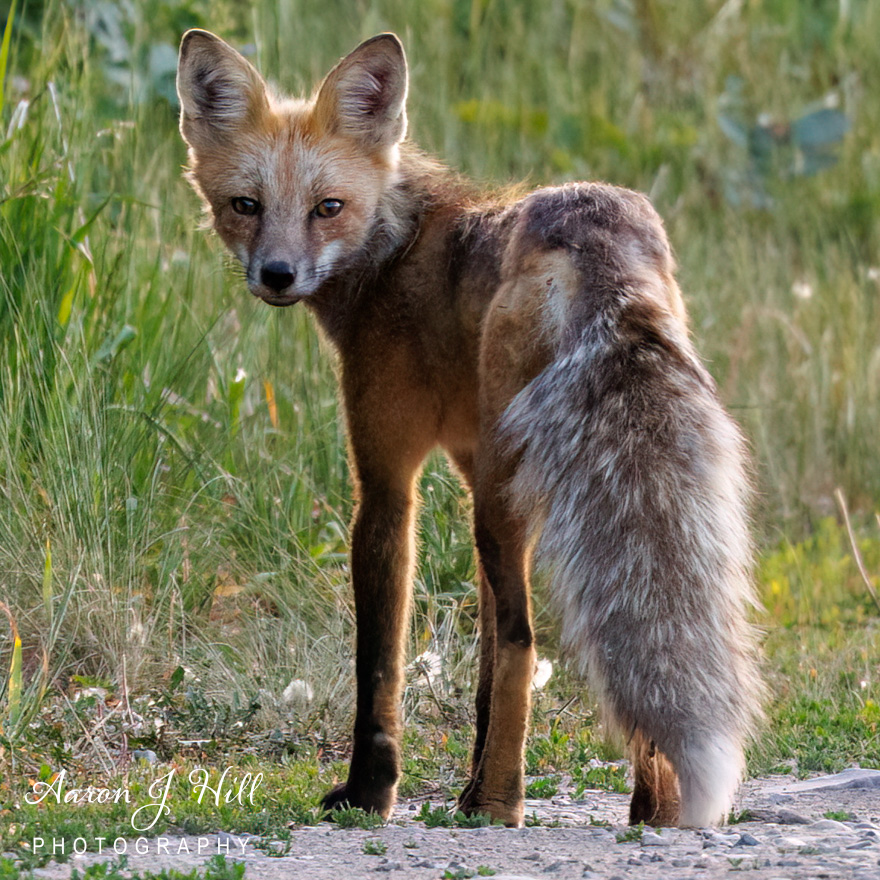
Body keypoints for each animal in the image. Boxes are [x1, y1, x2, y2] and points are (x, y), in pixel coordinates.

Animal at [175, 27, 760, 824]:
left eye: (328, 207)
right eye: (245, 204)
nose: (277, 275)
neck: (394, 254)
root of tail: (592, 223)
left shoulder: (387, 483)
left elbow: (381, 663)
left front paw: (372, 790)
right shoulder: (469, 465)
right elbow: (480, 669)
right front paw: (465, 780)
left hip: (500, 497)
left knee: (523, 639)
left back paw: (502, 807)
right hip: (516, 494)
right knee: (573, 647)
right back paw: (649, 813)